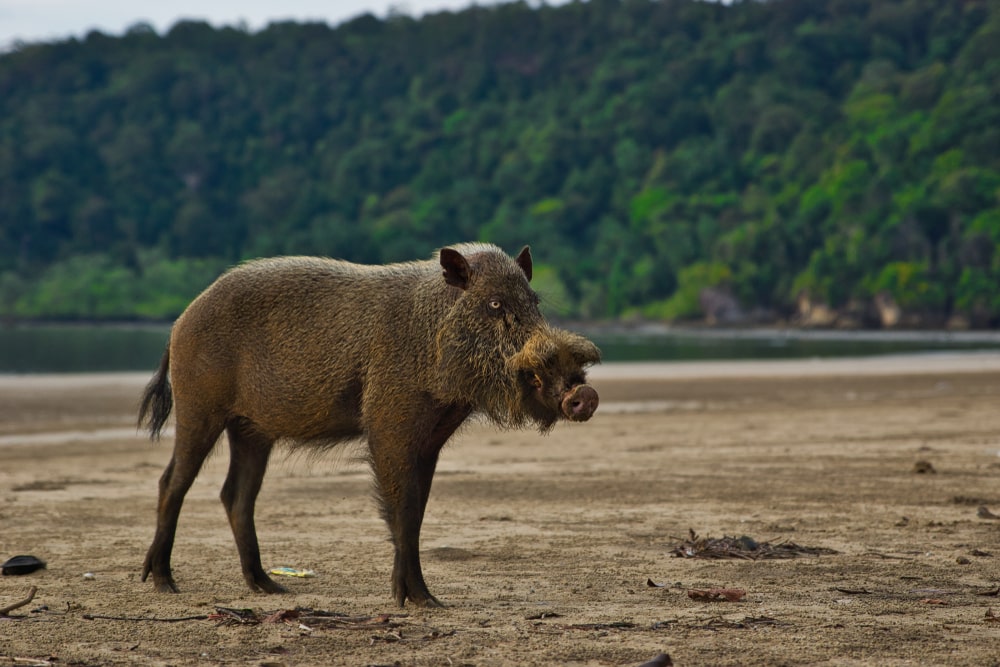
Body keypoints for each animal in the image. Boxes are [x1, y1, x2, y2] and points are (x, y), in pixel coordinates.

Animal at [138, 243, 600, 607]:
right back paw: (164, 584)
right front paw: (421, 601)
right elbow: (403, 510)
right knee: (171, 482)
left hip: (251, 429)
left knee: (235, 495)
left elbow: (417, 513)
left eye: (535, 302)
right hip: (199, 408)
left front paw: (418, 599)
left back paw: (270, 588)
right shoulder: (387, 425)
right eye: (495, 305)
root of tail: (178, 323)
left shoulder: (430, 440)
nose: (585, 394)